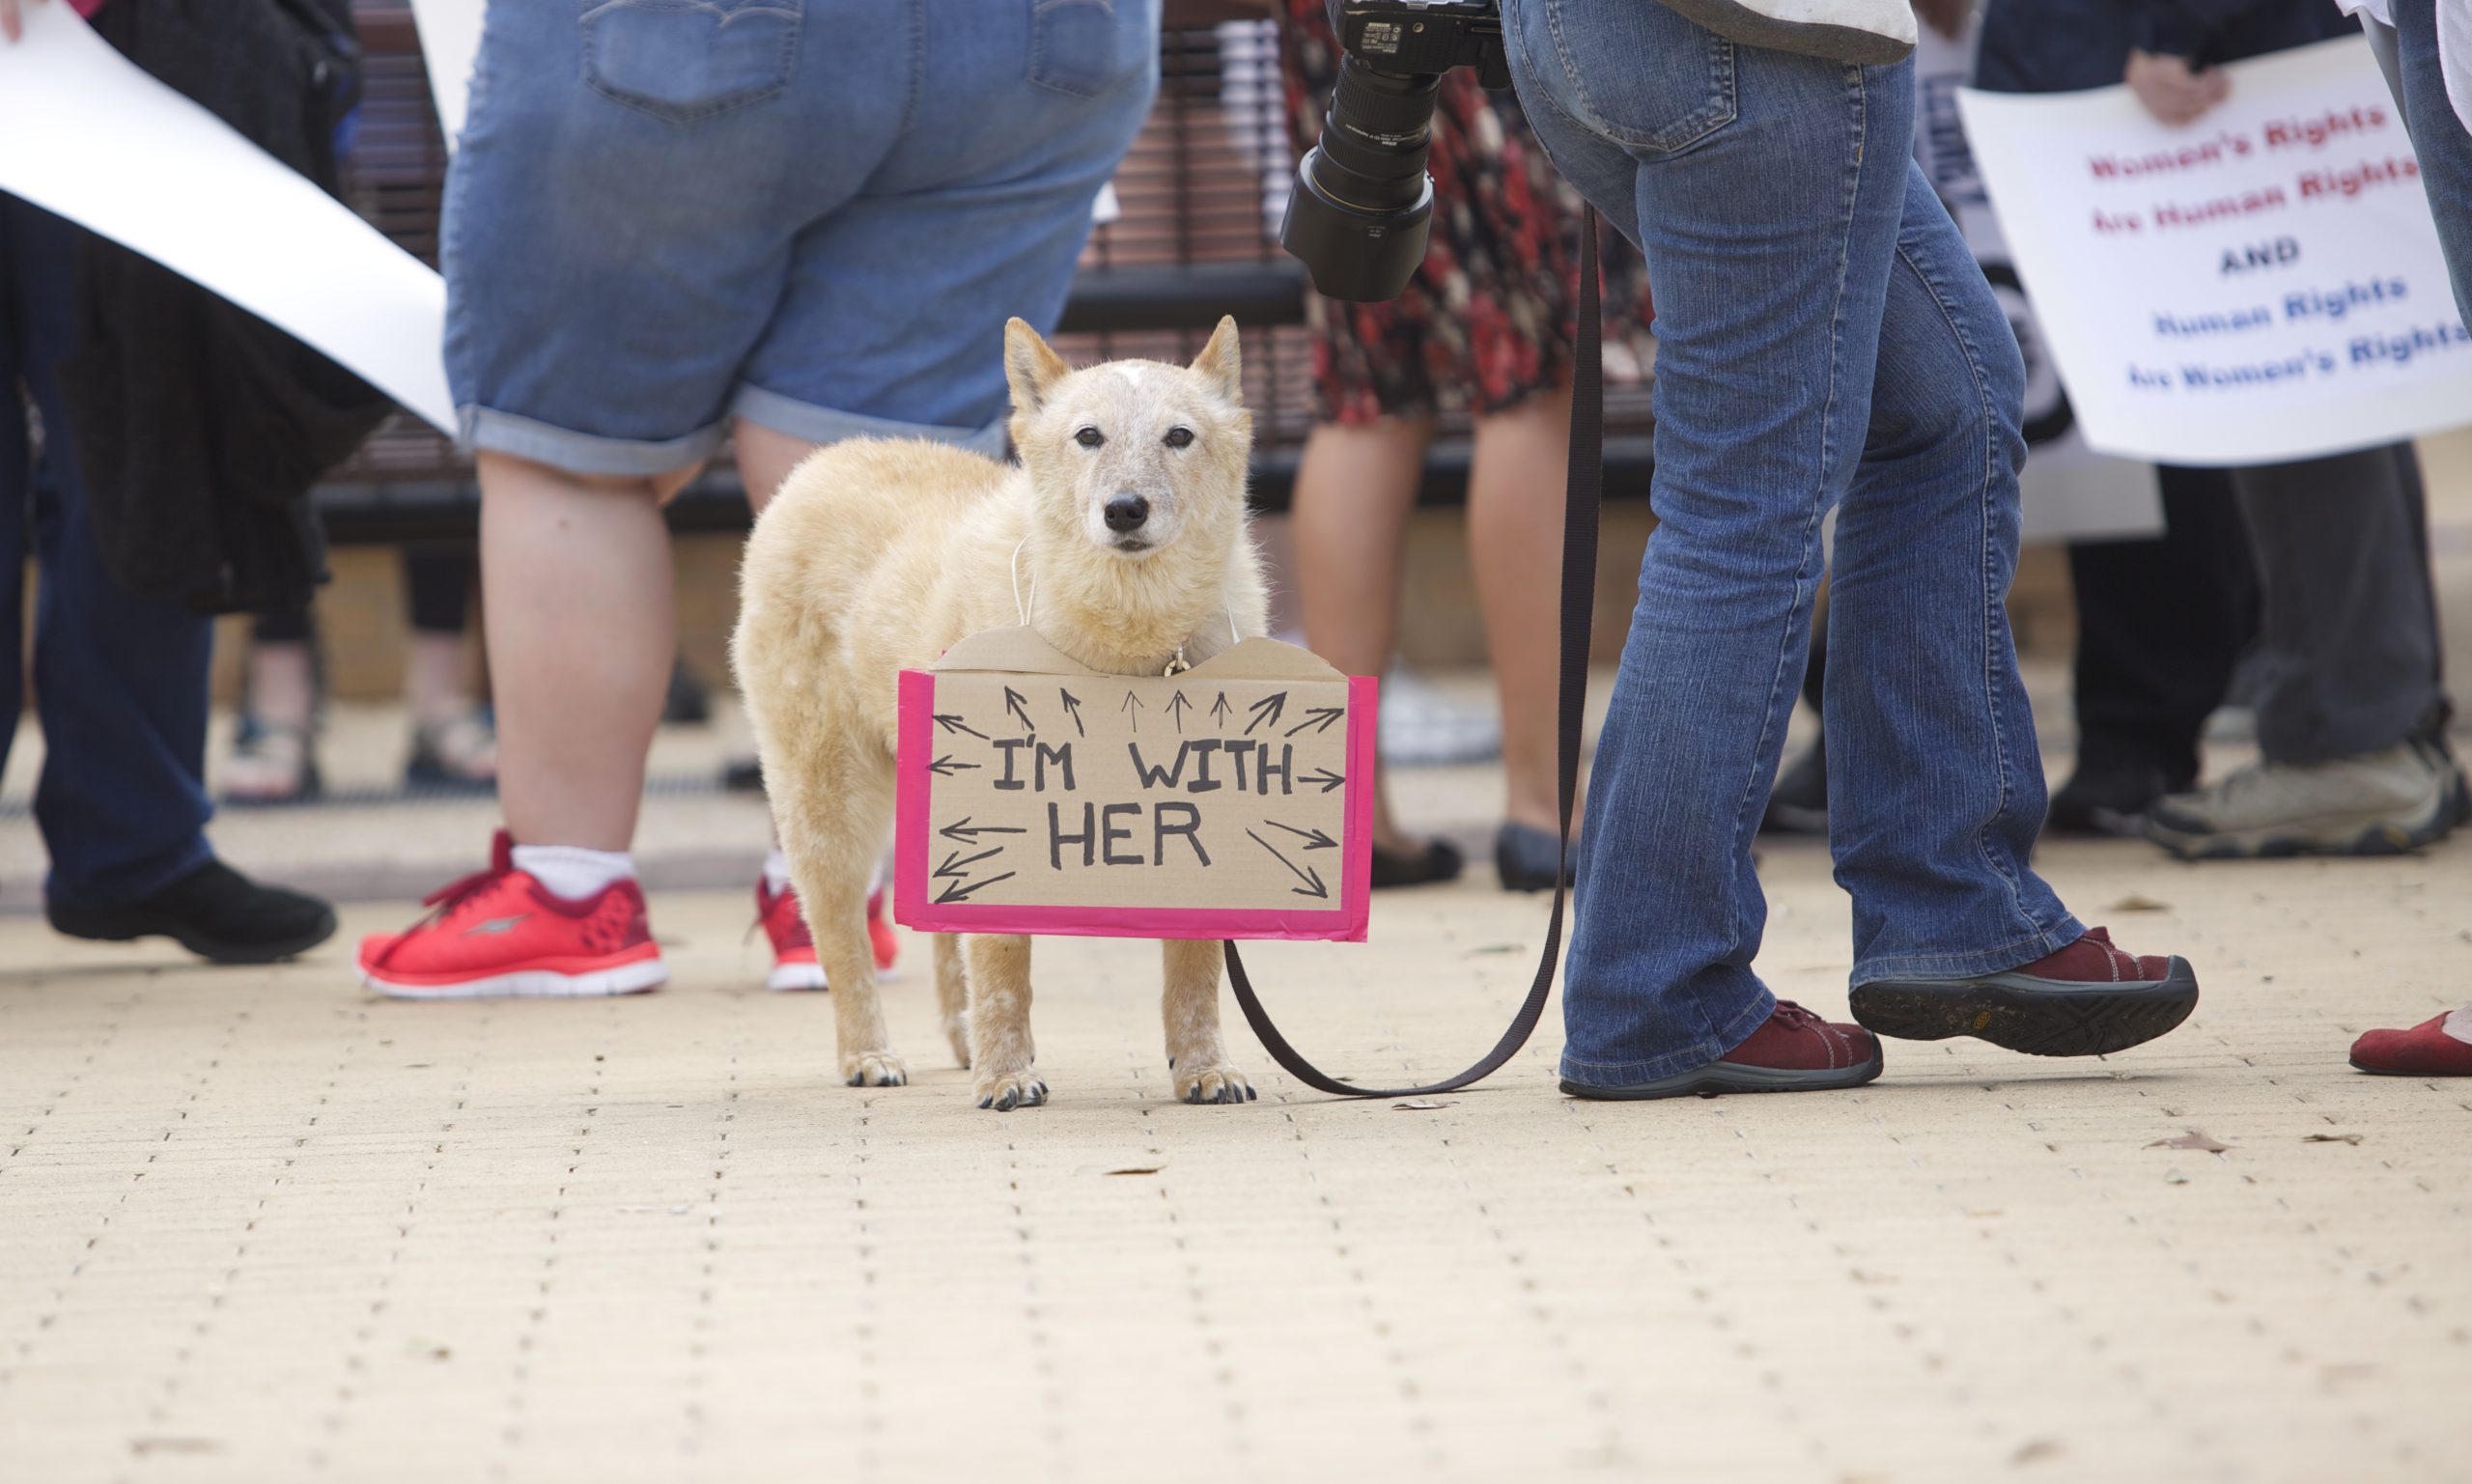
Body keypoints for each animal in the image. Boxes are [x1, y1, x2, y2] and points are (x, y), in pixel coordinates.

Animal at [726, 319, 1275, 1107]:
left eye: (1179, 436)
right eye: (1088, 436)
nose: (1125, 509)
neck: (1127, 644)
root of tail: (825, 458)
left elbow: (1194, 972)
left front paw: (1202, 1068)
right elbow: (1004, 964)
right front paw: (1008, 1074)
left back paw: (959, 1042)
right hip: (831, 804)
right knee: (841, 936)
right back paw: (869, 1053)